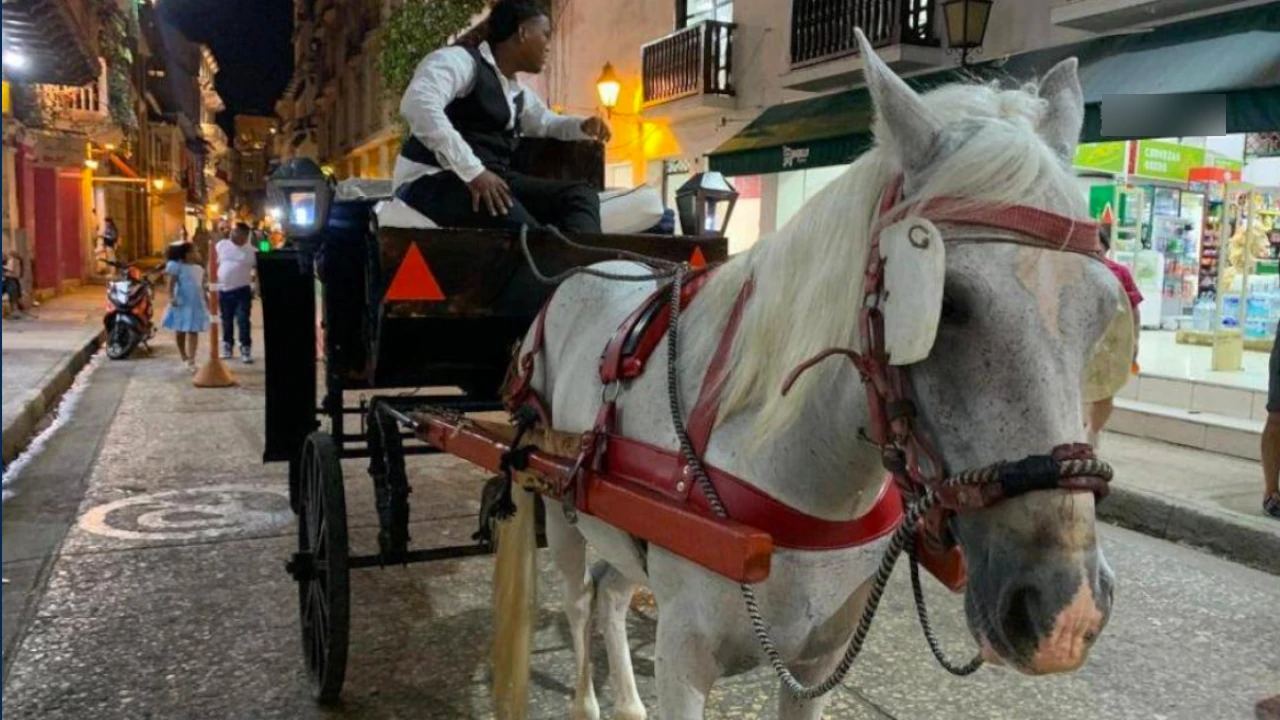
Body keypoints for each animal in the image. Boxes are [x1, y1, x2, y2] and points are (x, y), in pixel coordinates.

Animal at [492, 29, 1121, 720]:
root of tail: (585, 271)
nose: (1066, 611)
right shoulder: (684, 659)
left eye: (1106, 306)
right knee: (580, 599)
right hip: (557, 500)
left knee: (608, 591)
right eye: (945, 303)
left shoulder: (817, 659)